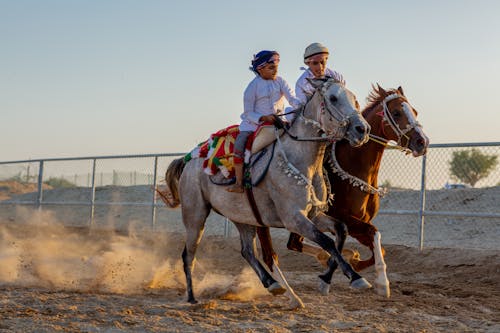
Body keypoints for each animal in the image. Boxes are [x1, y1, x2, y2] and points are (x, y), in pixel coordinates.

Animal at [164, 79, 372, 308]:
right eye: (333, 98)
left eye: (354, 98)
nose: (362, 129)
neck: (300, 161)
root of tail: (188, 160)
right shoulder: (293, 219)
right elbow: (325, 241)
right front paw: (355, 277)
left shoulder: (313, 215)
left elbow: (341, 231)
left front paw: (328, 280)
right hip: (196, 216)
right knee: (189, 255)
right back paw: (192, 296)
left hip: (243, 218)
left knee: (247, 251)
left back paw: (272, 284)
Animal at [258, 84, 430, 296]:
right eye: (397, 112)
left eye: (415, 111)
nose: (422, 142)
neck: (354, 169)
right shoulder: (345, 218)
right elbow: (373, 234)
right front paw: (381, 282)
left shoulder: (357, 222)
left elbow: (377, 248)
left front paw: (351, 263)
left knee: (294, 244)